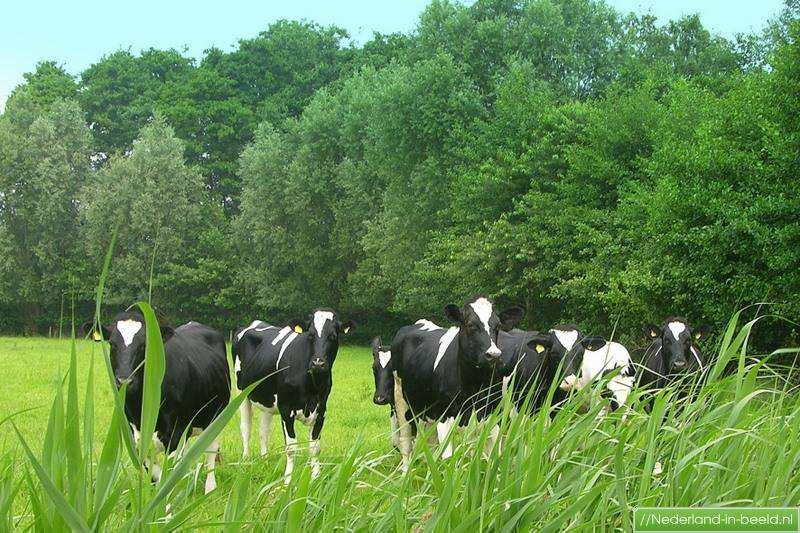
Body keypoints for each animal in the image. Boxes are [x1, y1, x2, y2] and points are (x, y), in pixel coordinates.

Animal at [96, 312, 231, 490]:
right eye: (112, 344)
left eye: (144, 345)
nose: (124, 381)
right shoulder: (136, 439)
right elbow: (155, 473)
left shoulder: (175, 434)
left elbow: (168, 475)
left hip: (216, 417)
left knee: (210, 451)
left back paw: (210, 487)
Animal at [234, 308, 354, 482]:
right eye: (310, 335)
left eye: (333, 335)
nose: (318, 363)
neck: (312, 386)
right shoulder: (286, 409)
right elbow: (291, 448)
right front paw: (287, 480)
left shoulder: (321, 411)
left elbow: (315, 447)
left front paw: (315, 477)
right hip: (241, 393)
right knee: (246, 427)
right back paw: (245, 460)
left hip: (267, 399)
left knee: (263, 429)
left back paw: (265, 460)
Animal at [392, 300, 524, 470]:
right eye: (470, 325)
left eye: (498, 325)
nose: (494, 355)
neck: (474, 386)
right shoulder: (444, 417)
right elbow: (448, 459)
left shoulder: (492, 418)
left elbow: (494, 458)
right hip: (401, 401)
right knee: (406, 442)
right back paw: (405, 472)